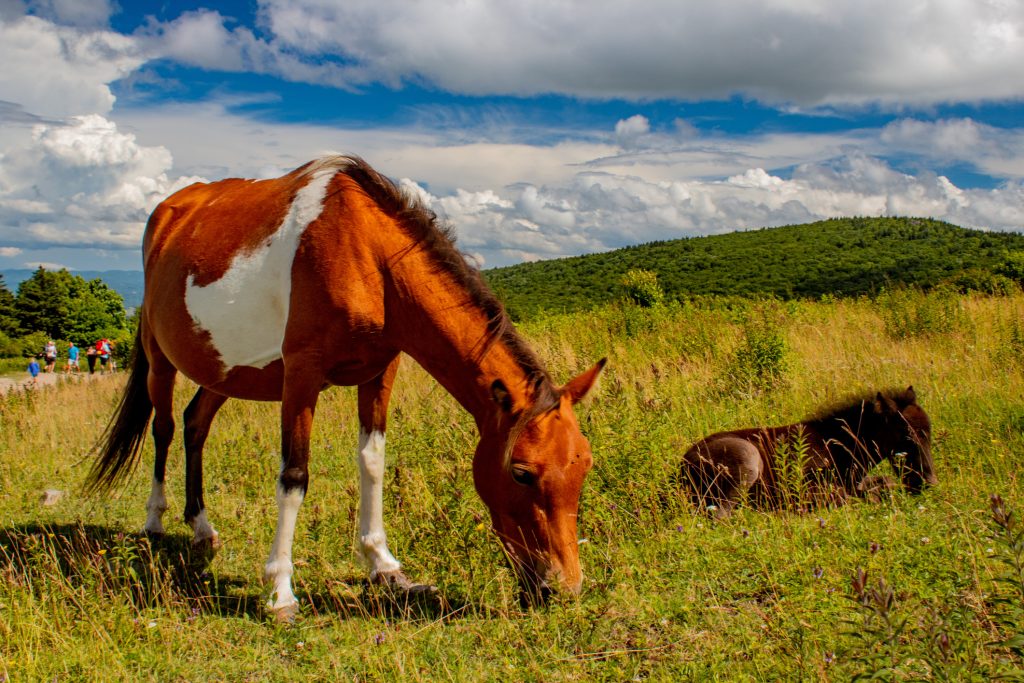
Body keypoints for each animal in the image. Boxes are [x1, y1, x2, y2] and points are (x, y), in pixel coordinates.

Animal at [87, 156, 605, 620]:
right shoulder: (301, 373)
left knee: (195, 425)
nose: (564, 588)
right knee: (164, 430)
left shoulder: (380, 372)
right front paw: (280, 590)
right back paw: (155, 518)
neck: (367, 256)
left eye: (584, 466)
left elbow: (372, 463)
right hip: (160, 360)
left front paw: (384, 566)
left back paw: (200, 526)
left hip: (225, 369)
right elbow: (294, 476)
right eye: (521, 473)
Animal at [680, 387, 935, 519]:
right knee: (721, 515)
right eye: (907, 437)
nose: (928, 483)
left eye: (929, 433)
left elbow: (884, 483)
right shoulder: (811, 489)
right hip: (747, 458)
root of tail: (682, 465)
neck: (840, 445)